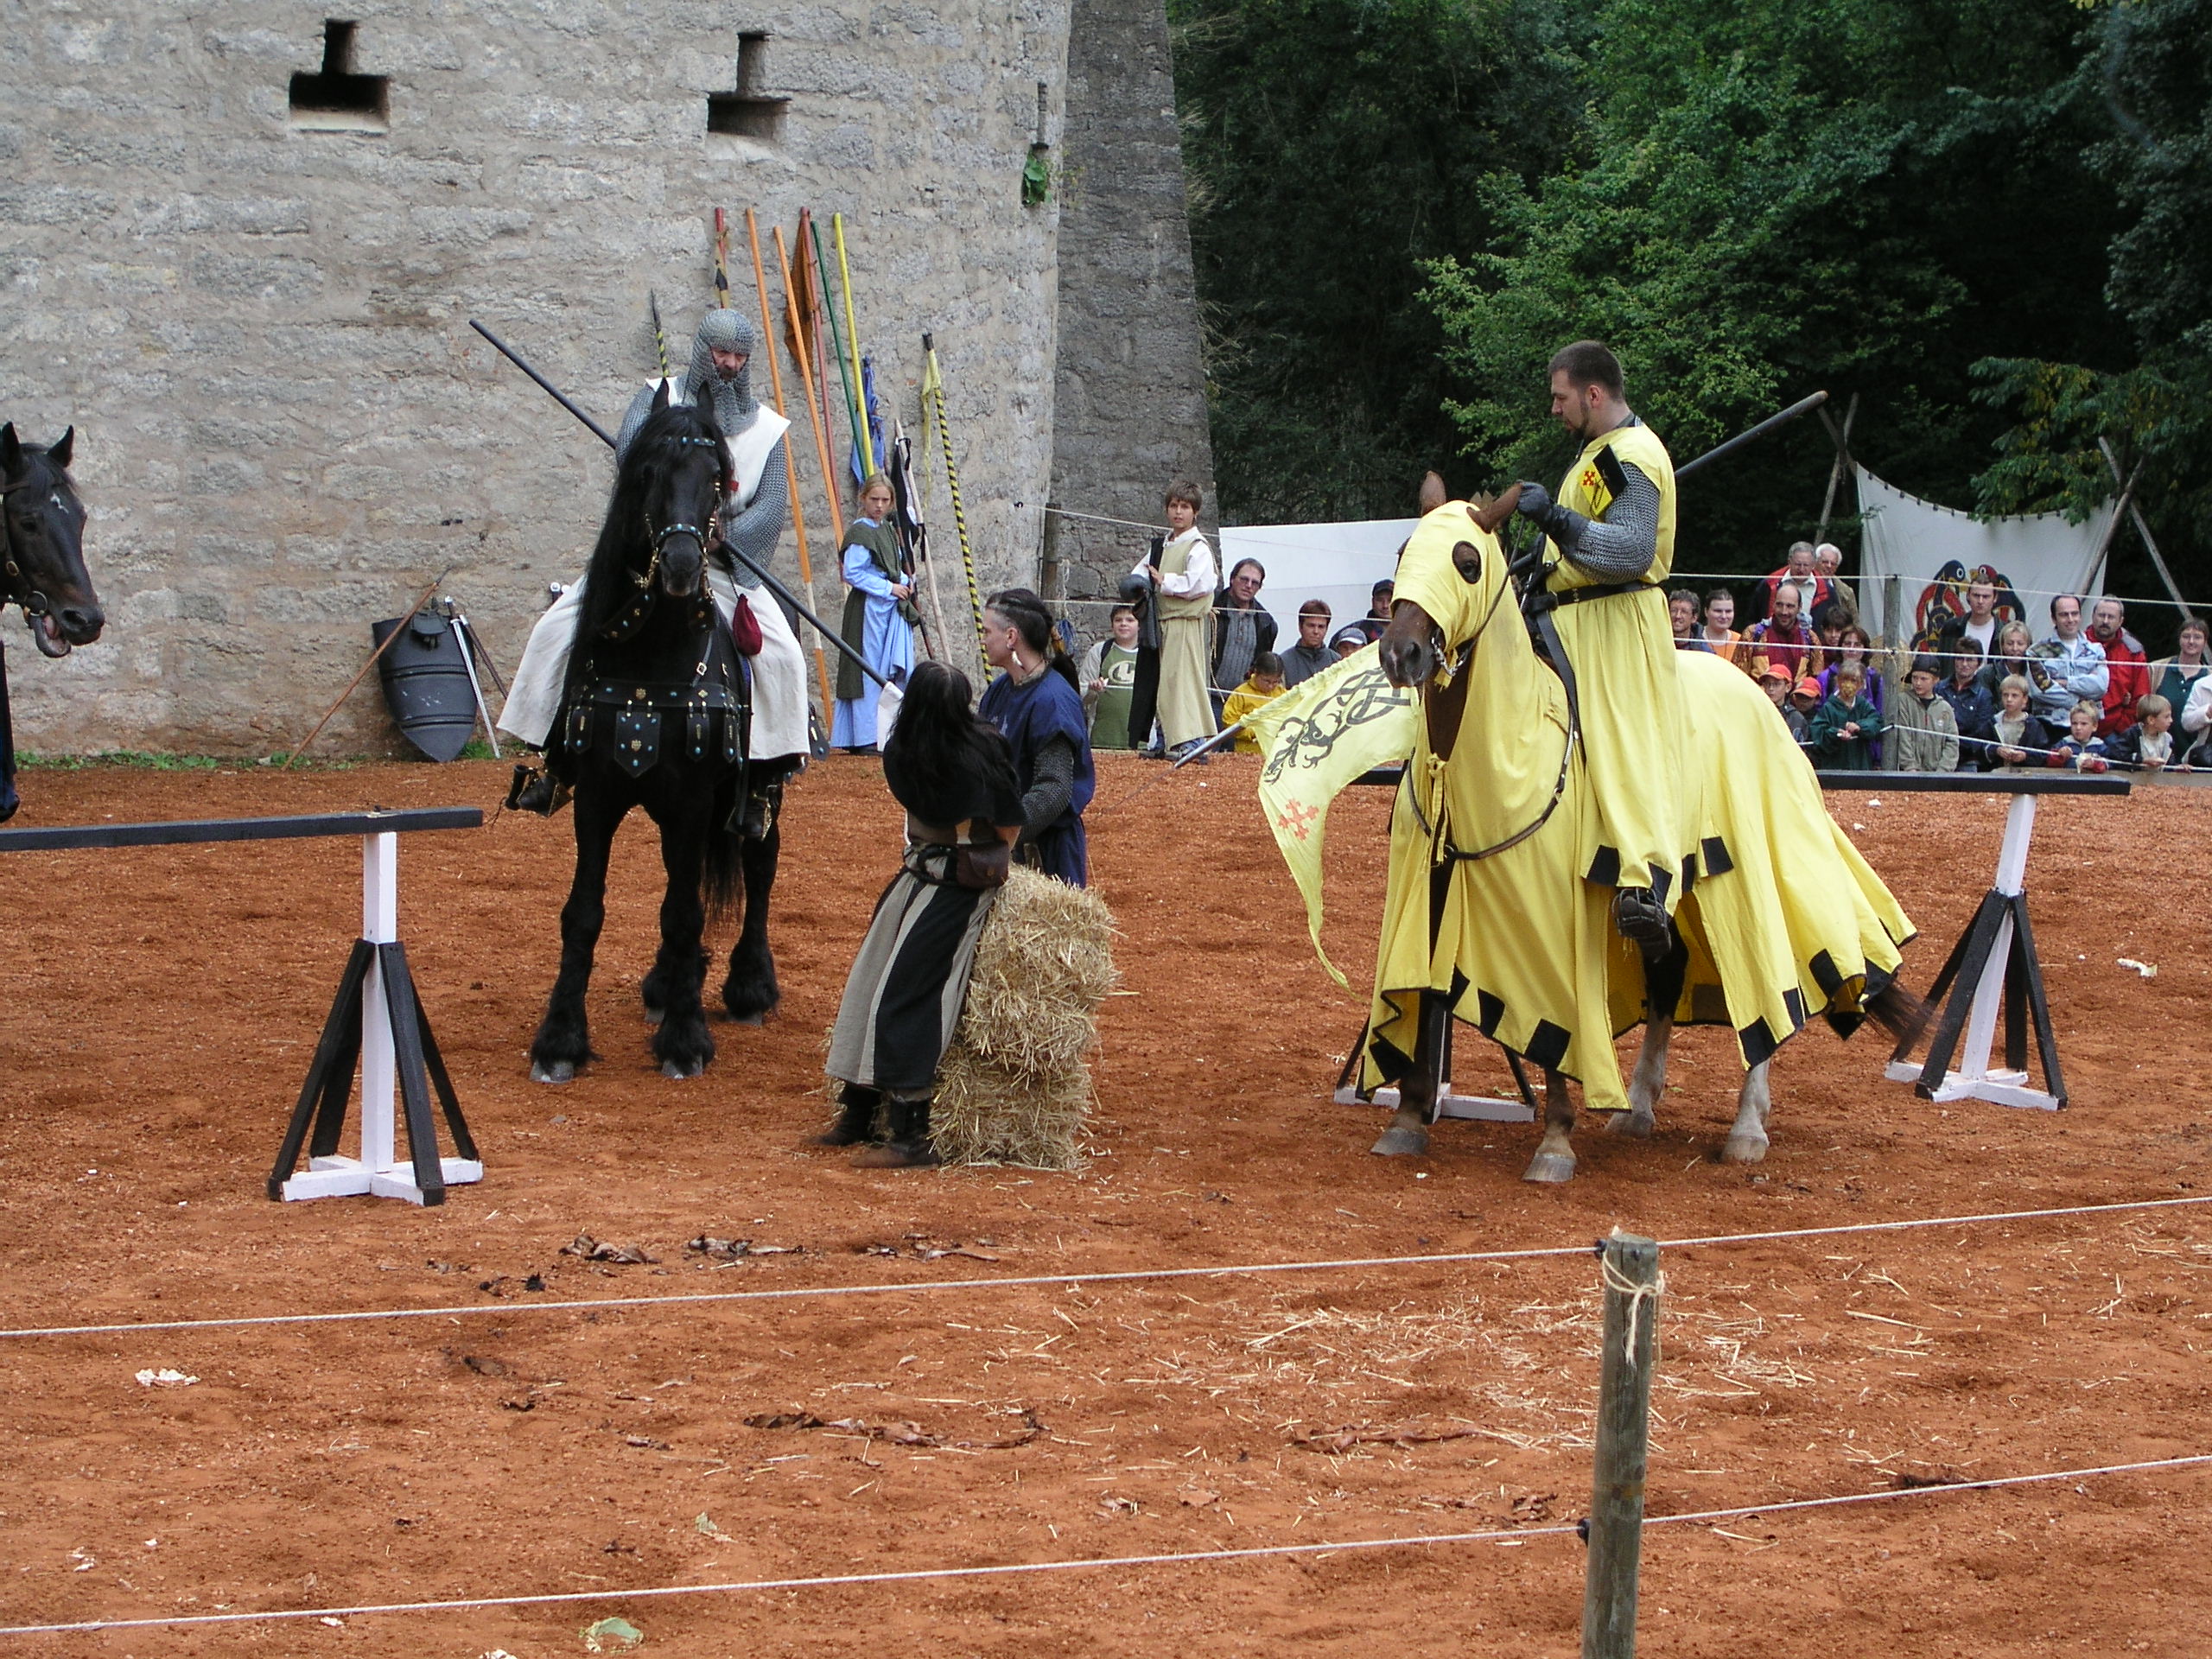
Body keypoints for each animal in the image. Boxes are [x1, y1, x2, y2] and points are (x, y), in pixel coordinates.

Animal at [528, 393, 787, 1092]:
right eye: (646, 474)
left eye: (715, 480)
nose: (679, 565)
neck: (651, 660)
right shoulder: (596, 799)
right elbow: (584, 912)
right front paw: (560, 1040)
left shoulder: (696, 801)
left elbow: (686, 911)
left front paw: (686, 1038)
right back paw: (670, 981)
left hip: (760, 788)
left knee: (758, 866)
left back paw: (747, 987)